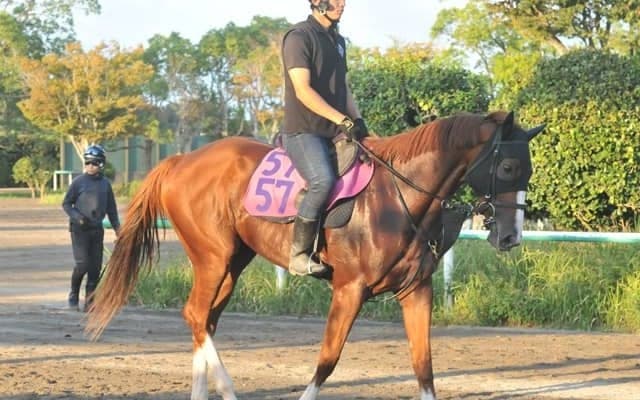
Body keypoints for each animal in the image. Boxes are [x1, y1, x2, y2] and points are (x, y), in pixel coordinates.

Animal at [86, 111, 544, 400]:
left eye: (528, 170)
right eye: (507, 168)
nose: (510, 236)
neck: (399, 197)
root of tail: (182, 160)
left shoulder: (417, 291)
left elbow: (424, 367)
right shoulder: (348, 290)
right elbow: (327, 360)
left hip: (233, 262)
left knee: (205, 320)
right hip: (213, 257)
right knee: (197, 316)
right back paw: (228, 389)